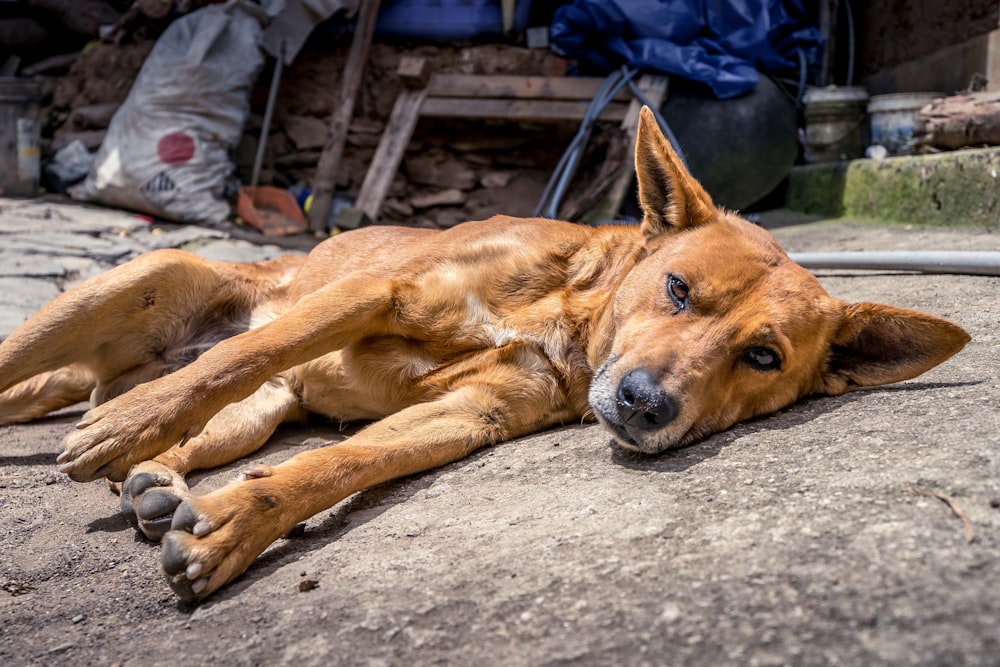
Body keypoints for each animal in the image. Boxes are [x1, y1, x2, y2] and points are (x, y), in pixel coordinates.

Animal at [0, 108, 968, 600]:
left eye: (762, 357)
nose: (645, 404)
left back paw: (160, 481)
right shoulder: (377, 294)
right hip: (131, 285)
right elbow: (249, 349)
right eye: (678, 288)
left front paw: (239, 523)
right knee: (182, 365)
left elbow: (339, 463)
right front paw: (140, 432)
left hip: (259, 416)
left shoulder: (469, 415)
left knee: (205, 431)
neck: (570, 314)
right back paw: (128, 422)